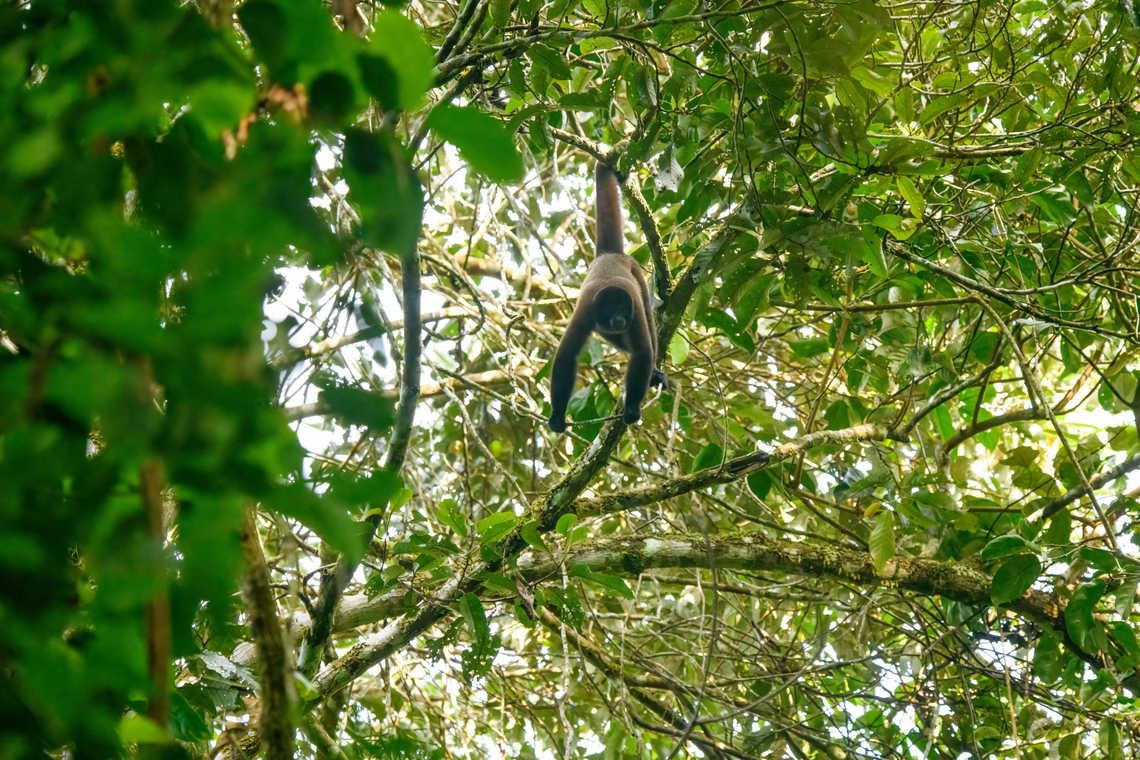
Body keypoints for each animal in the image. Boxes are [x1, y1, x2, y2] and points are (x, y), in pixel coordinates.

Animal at [547, 161, 667, 434]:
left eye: (623, 309)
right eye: (611, 310)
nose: (619, 320)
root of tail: (610, 255)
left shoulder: (634, 309)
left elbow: (643, 351)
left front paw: (632, 407)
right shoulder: (587, 312)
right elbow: (566, 355)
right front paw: (557, 415)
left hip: (637, 274)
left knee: (649, 321)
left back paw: (655, 373)